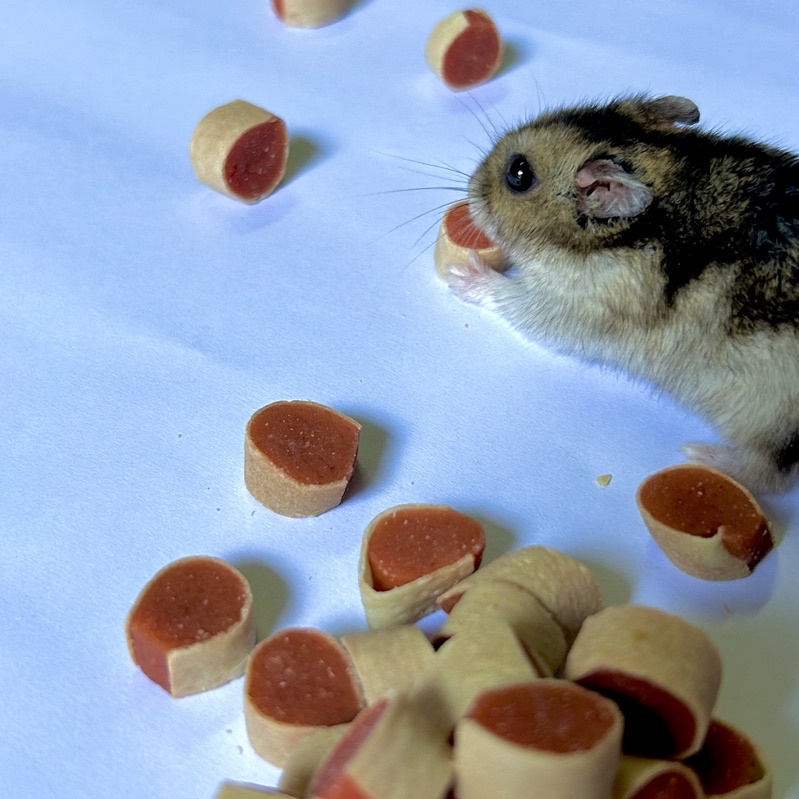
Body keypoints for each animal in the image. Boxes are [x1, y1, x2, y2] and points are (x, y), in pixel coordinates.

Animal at [445, 94, 799, 493]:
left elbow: (510, 297)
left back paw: (698, 454)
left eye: (519, 174)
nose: (470, 186)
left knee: (770, 473)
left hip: (767, 421)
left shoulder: (567, 307)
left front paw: (463, 273)